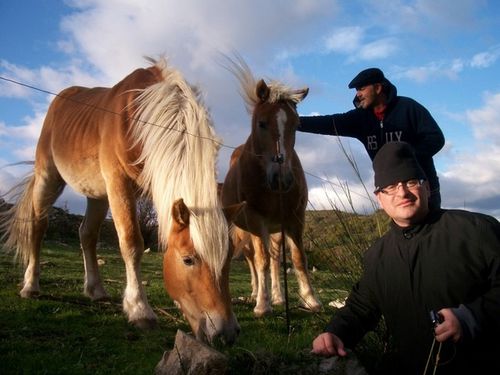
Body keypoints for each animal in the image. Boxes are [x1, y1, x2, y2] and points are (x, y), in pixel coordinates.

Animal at [0, 56, 242, 346]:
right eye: (188, 260)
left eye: (229, 259)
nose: (226, 333)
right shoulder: (118, 183)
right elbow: (132, 243)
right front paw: (140, 311)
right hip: (49, 177)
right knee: (38, 226)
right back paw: (30, 286)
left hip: (97, 194)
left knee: (87, 234)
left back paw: (96, 290)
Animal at [222, 55, 322, 318]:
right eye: (261, 123)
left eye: (296, 125)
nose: (282, 179)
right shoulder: (256, 220)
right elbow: (261, 261)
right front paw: (262, 304)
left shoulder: (295, 219)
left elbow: (298, 258)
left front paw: (310, 299)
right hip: (247, 231)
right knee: (254, 259)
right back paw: (258, 293)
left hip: (276, 229)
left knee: (276, 257)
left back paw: (278, 295)